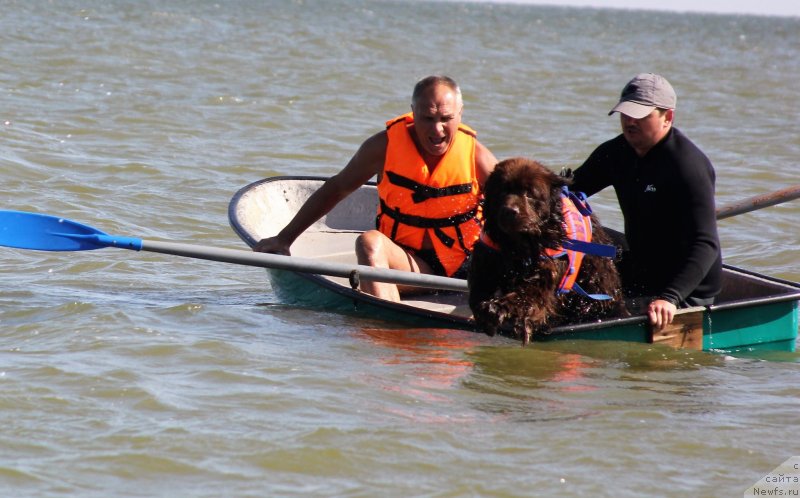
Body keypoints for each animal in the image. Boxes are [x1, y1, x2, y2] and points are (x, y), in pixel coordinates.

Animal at [466, 158, 628, 344]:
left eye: (530, 193)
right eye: (502, 191)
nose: (509, 211)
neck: (519, 245)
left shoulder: (547, 270)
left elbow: (530, 295)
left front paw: (499, 309)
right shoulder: (488, 258)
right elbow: (478, 289)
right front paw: (487, 317)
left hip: (597, 278)